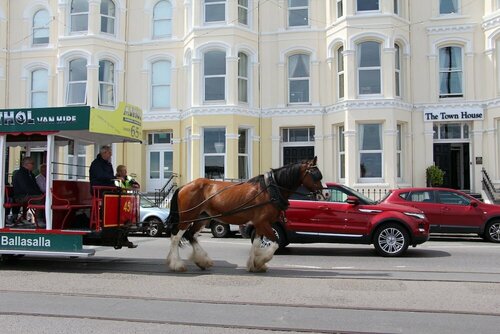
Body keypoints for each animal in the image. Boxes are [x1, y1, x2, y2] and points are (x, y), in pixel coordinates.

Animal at [164, 156, 322, 272]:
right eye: (315, 175)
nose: (323, 194)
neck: (270, 189)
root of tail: (184, 186)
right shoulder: (263, 223)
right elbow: (274, 243)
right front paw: (261, 260)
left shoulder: (259, 224)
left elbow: (257, 243)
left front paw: (254, 264)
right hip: (187, 217)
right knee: (176, 237)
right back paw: (176, 264)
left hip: (201, 218)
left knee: (191, 235)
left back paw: (202, 261)